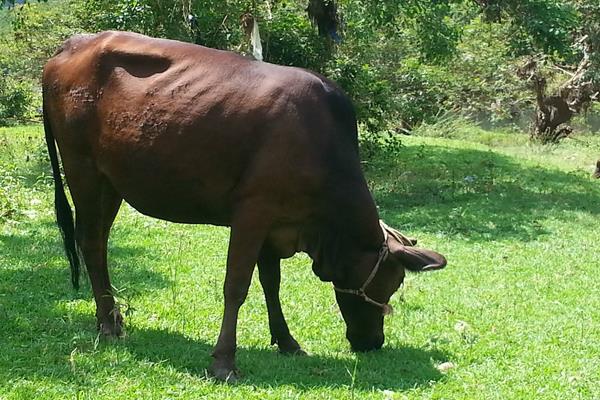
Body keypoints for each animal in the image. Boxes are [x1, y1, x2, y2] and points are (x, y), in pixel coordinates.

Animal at [42, 31, 446, 382]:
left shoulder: (274, 223)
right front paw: (224, 362)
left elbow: (271, 283)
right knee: (90, 242)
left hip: (112, 182)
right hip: (82, 169)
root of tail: (73, 44)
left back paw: (111, 317)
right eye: (391, 284)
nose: (373, 343)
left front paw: (287, 342)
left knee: (97, 242)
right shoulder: (253, 212)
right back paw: (108, 325)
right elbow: (236, 285)